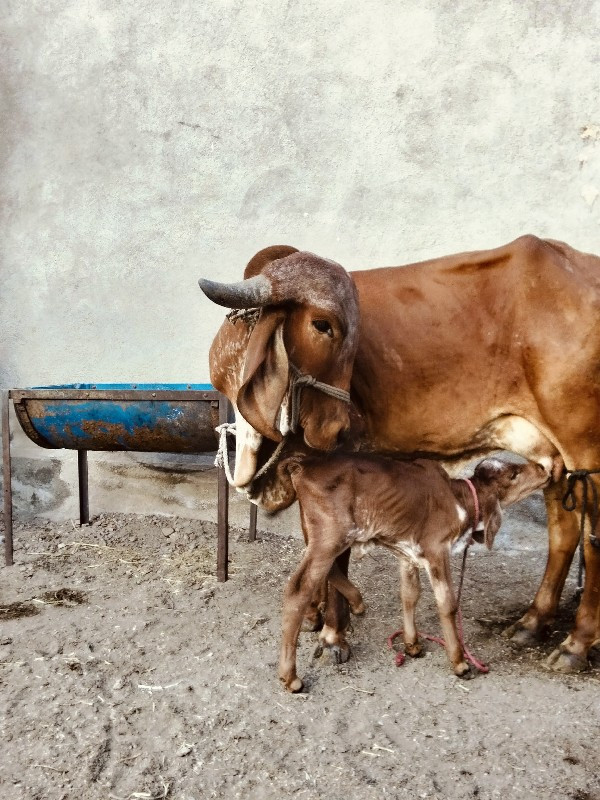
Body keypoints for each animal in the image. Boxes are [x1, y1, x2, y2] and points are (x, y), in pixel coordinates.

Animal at [200, 238, 600, 676]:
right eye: (323, 325)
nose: (337, 428)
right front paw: (315, 616)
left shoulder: (340, 466)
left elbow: (337, 557)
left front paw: (334, 633)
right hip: (554, 457)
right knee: (564, 531)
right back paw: (533, 622)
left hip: (588, 448)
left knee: (592, 539)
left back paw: (576, 644)